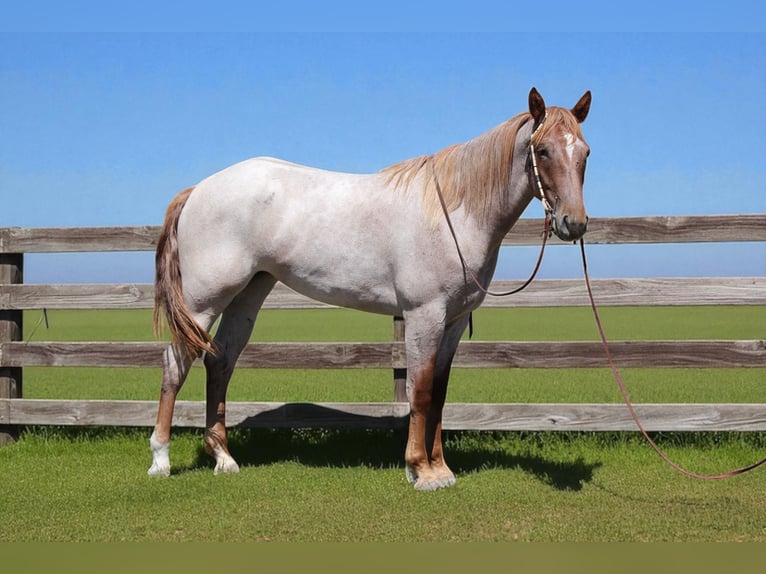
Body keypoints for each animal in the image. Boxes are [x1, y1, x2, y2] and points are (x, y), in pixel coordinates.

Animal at [148, 87, 592, 491]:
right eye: (544, 151)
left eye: (584, 153)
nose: (574, 223)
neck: (453, 211)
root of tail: (198, 190)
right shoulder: (424, 315)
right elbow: (420, 391)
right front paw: (421, 471)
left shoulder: (453, 322)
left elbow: (439, 394)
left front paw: (442, 469)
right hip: (203, 301)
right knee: (176, 364)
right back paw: (161, 460)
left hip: (248, 294)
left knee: (220, 362)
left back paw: (224, 458)